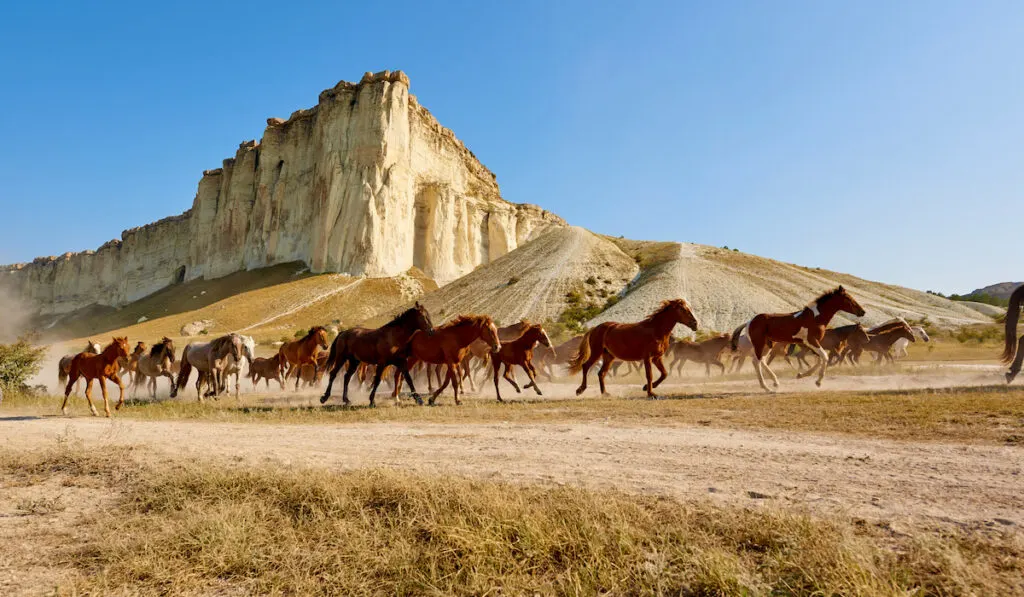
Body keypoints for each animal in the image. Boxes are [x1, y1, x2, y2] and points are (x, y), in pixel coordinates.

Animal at [565, 299, 700, 401]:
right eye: (683, 309)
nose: (695, 324)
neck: (656, 330)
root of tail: (595, 328)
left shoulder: (657, 358)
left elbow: (664, 374)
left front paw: (646, 388)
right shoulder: (647, 358)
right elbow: (649, 375)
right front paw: (651, 394)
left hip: (609, 356)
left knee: (601, 373)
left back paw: (605, 393)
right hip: (596, 353)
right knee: (585, 366)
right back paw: (580, 390)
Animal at [729, 284, 864, 393]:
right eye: (849, 299)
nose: (862, 311)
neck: (816, 317)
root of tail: (749, 322)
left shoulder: (809, 344)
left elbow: (819, 359)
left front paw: (801, 375)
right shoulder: (811, 341)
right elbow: (824, 357)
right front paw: (818, 382)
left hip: (768, 344)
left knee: (761, 360)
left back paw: (775, 382)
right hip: (759, 343)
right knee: (756, 362)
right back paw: (767, 388)